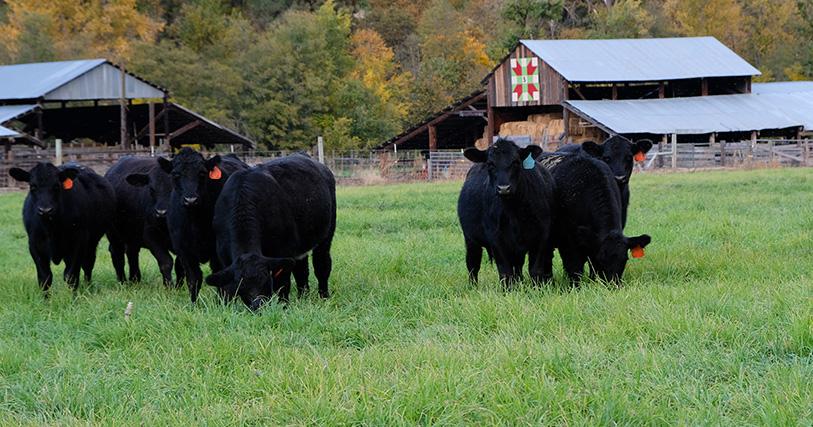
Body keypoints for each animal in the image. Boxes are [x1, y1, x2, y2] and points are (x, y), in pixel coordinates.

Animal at [9, 162, 115, 294]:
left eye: (56, 186)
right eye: (33, 186)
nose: (45, 210)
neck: (51, 228)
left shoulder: (78, 242)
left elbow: (71, 276)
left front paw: (73, 298)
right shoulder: (34, 244)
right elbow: (45, 277)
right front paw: (45, 299)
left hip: (91, 242)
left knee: (88, 265)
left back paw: (88, 288)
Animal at [105, 156, 182, 287]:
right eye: (151, 189)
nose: (161, 212)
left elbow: (180, 265)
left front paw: (180, 287)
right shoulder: (150, 235)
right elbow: (166, 262)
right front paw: (169, 286)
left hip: (132, 235)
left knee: (132, 253)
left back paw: (135, 279)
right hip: (114, 234)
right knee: (117, 253)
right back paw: (123, 282)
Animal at [157, 148, 249, 303]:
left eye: (202, 173)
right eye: (176, 174)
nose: (191, 199)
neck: (196, 223)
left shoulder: (217, 251)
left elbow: (219, 276)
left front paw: (221, 303)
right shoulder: (184, 251)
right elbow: (193, 279)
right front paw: (193, 304)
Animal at [205, 153, 337, 310]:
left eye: (266, 282)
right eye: (241, 287)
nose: (258, 306)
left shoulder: (284, 251)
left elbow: (282, 284)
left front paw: (284, 306)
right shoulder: (224, 256)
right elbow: (226, 287)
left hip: (326, 235)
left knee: (322, 265)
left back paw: (324, 297)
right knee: (301, 271)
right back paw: (302, 297)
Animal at [457, 139, 554, 286]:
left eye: (516, 162)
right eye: (490, 164)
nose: (503, 188)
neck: (513, 211)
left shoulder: (541, 235)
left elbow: (535, 270)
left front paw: (537, 288)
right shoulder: (496, 238)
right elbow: (505, 272)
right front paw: (508, 289)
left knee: (518, 265)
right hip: (470, 239)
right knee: (473, 263)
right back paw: (473, 286)